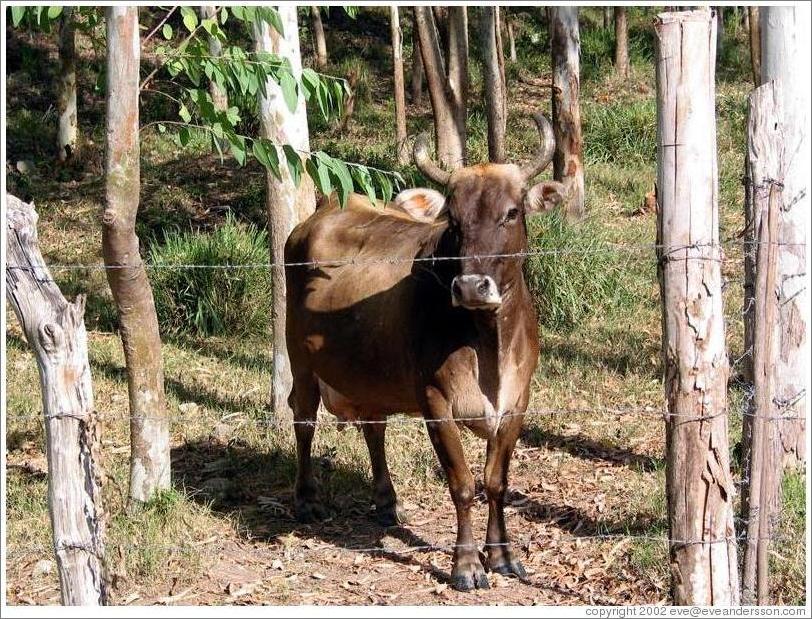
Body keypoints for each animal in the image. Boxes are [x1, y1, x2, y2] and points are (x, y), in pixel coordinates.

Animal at [284, 113, 564, 591]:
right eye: (453, 219)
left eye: (511, 212)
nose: (470, 286)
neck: (488, 345)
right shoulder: (435, 401)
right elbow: (463, 484)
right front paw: (466, 565)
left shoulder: (518, 403)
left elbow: (496, 483)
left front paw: (502, 556)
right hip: (299, 359)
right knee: (304, 421)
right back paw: (306, 499)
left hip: (367, 373)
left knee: (373, 427)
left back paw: (386, 502)